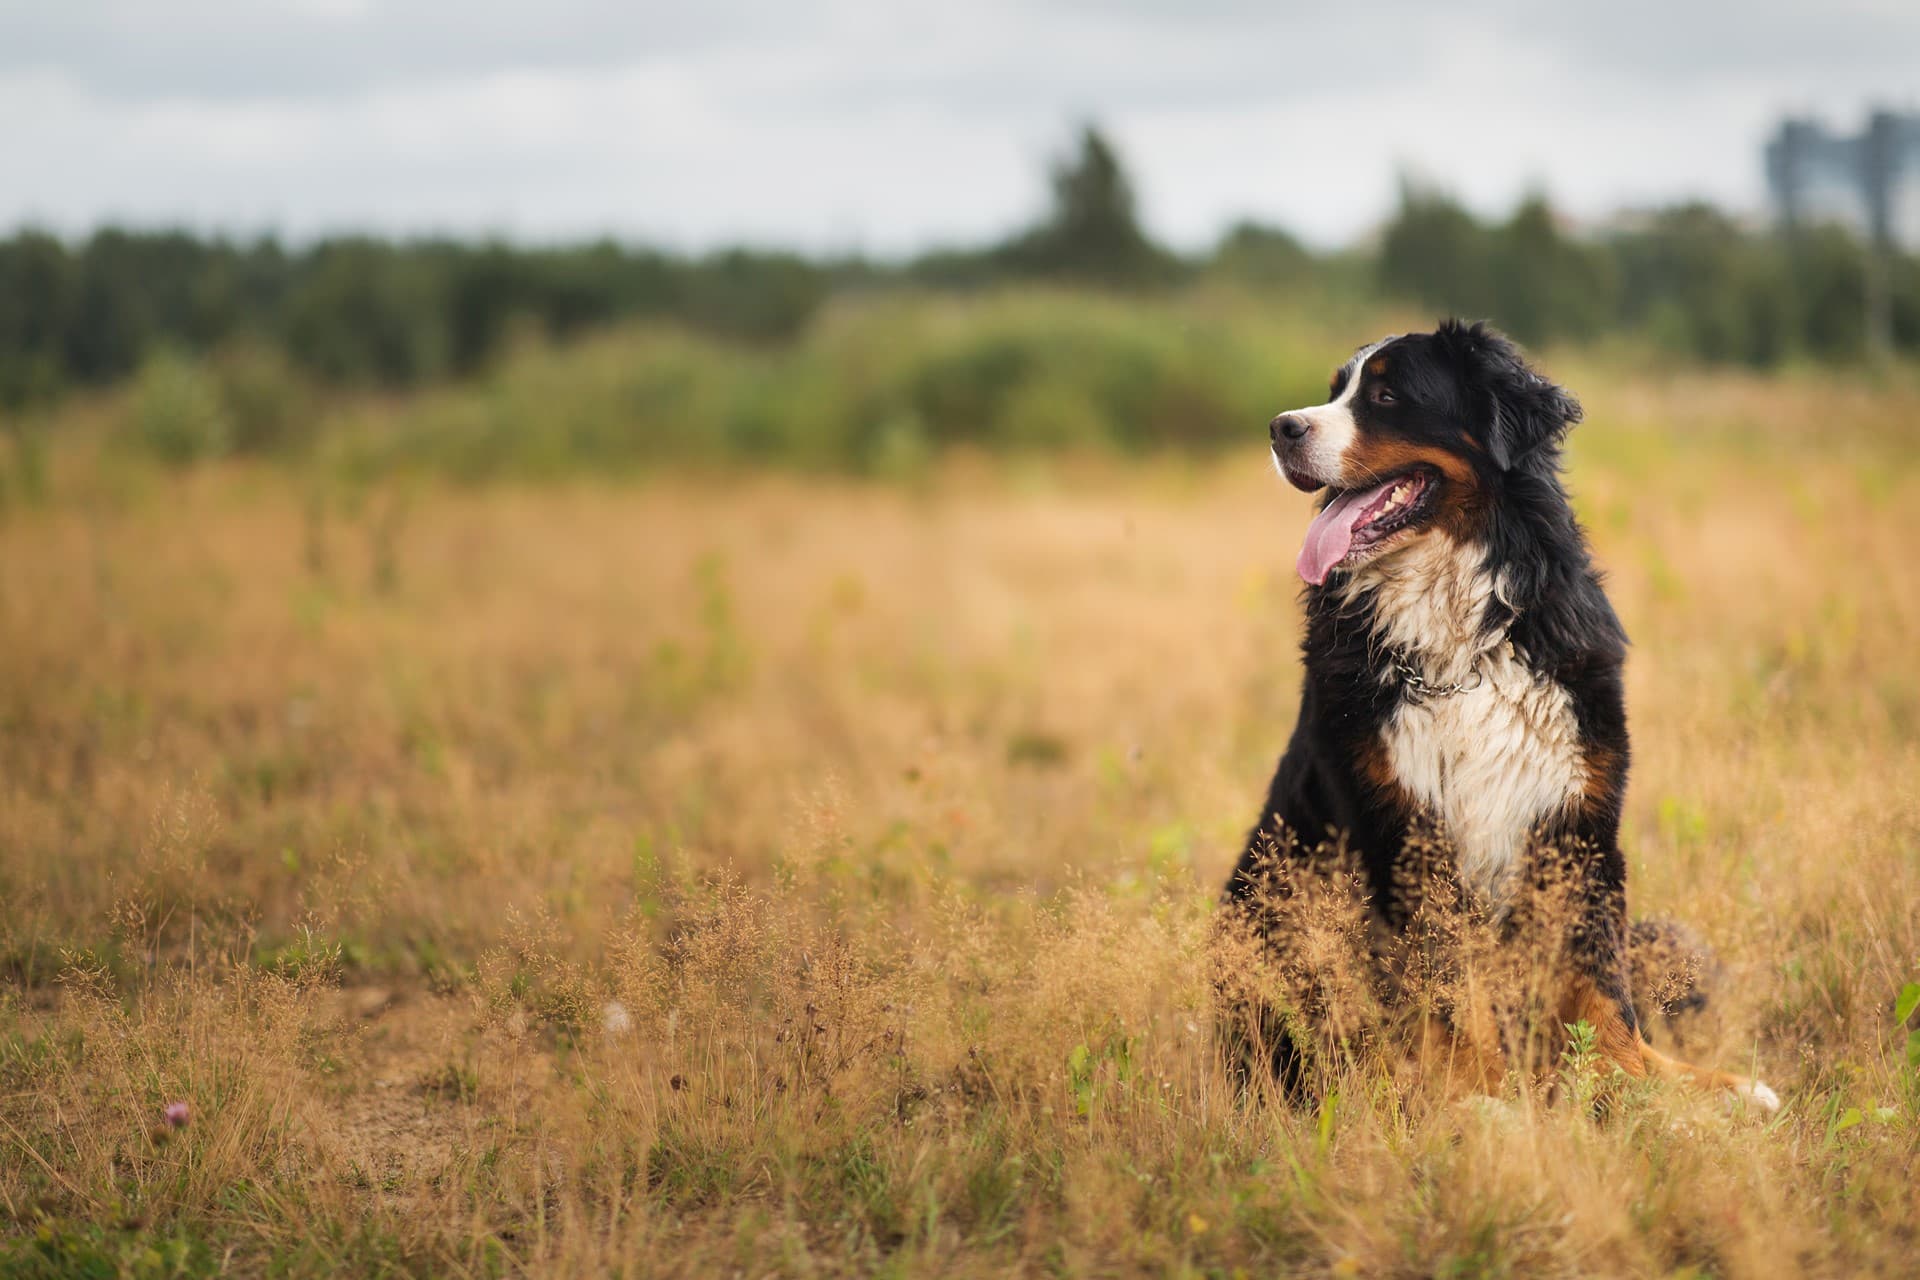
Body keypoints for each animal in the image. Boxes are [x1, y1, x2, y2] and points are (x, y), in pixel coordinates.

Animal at [1221, 318, 1774, 1113]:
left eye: (1386, 395)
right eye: (1335, 392)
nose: (1281, 428)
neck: (1462, 645)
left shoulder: (1576, 820)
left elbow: (1602, 991)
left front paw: (1656, 1089)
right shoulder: (1406, 833)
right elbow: (1453, 991)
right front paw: (1482, 1101)